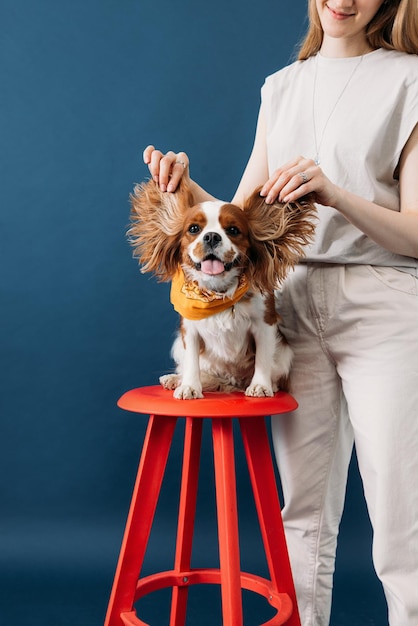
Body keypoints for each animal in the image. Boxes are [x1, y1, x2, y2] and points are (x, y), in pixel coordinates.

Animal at [129, 178, 316, 398]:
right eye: (194, 229)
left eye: (233, 230)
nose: (211, 236)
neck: (217, 291)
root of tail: (231, 380)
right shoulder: (189, 330)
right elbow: (191, 361)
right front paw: (189, 386)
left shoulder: (265, 325)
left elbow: (263, 359)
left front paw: (261, 385)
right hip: (180, 347)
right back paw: (177, 379)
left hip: (285, 352)